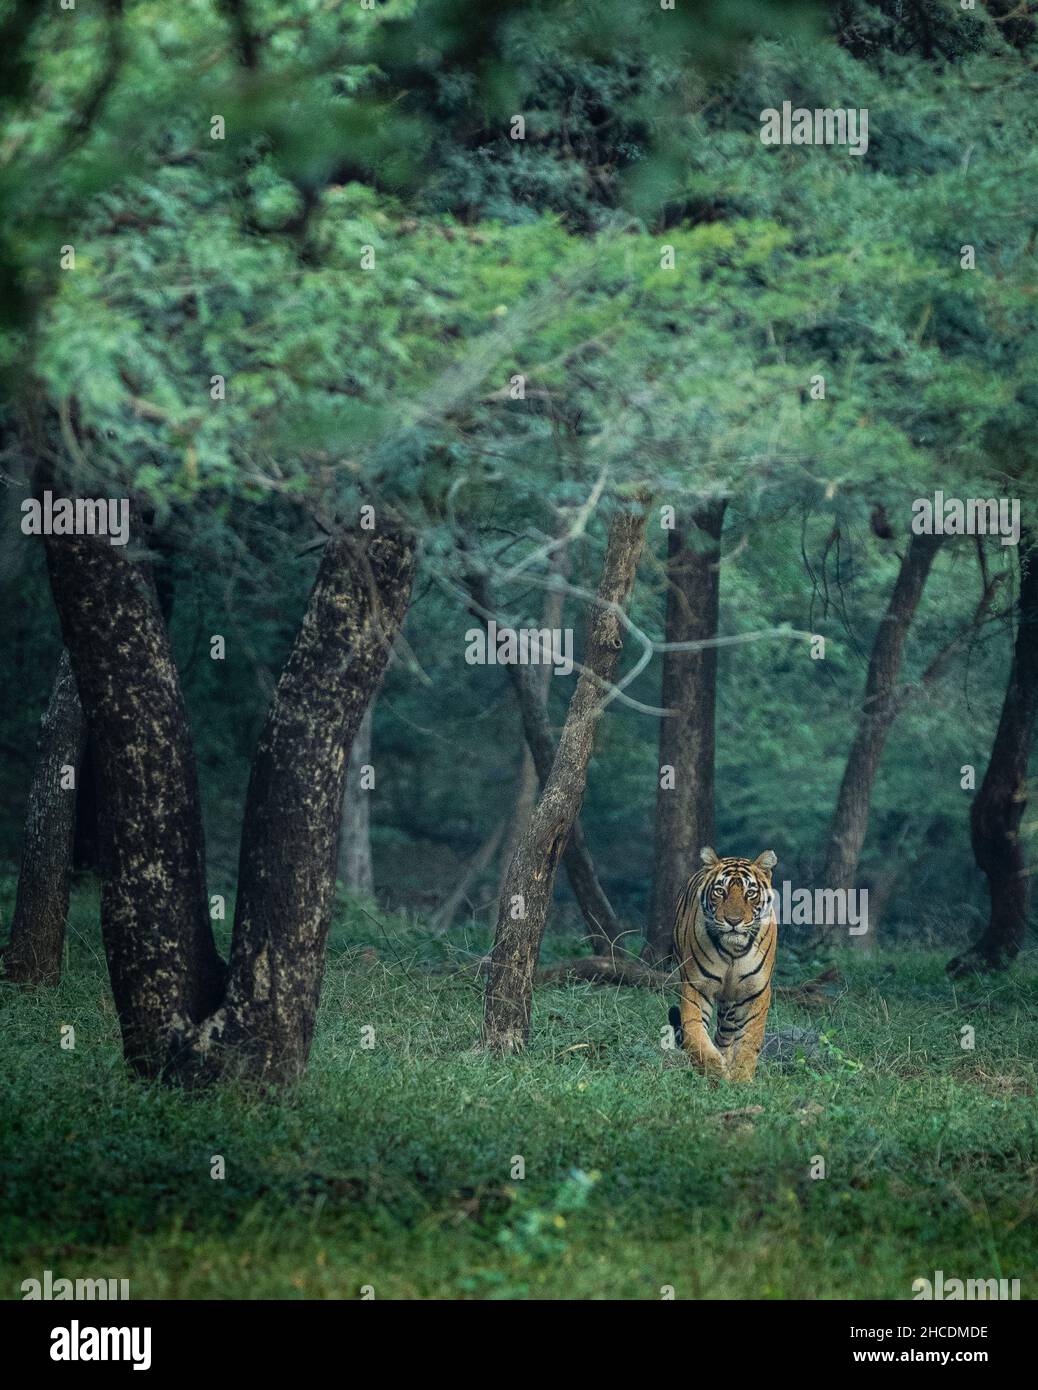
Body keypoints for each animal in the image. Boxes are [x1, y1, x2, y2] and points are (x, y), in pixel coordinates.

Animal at [667, 846, 778, 1082]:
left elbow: (750, 1040)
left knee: (725, 1035)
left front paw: (741, 1079)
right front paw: (715, 1071)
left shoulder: (756, 991)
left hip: (731, 1004)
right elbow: (695, 1035)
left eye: (750, 893)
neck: (732, 951)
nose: (733, 921)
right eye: (720, 891)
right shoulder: (697, 988)